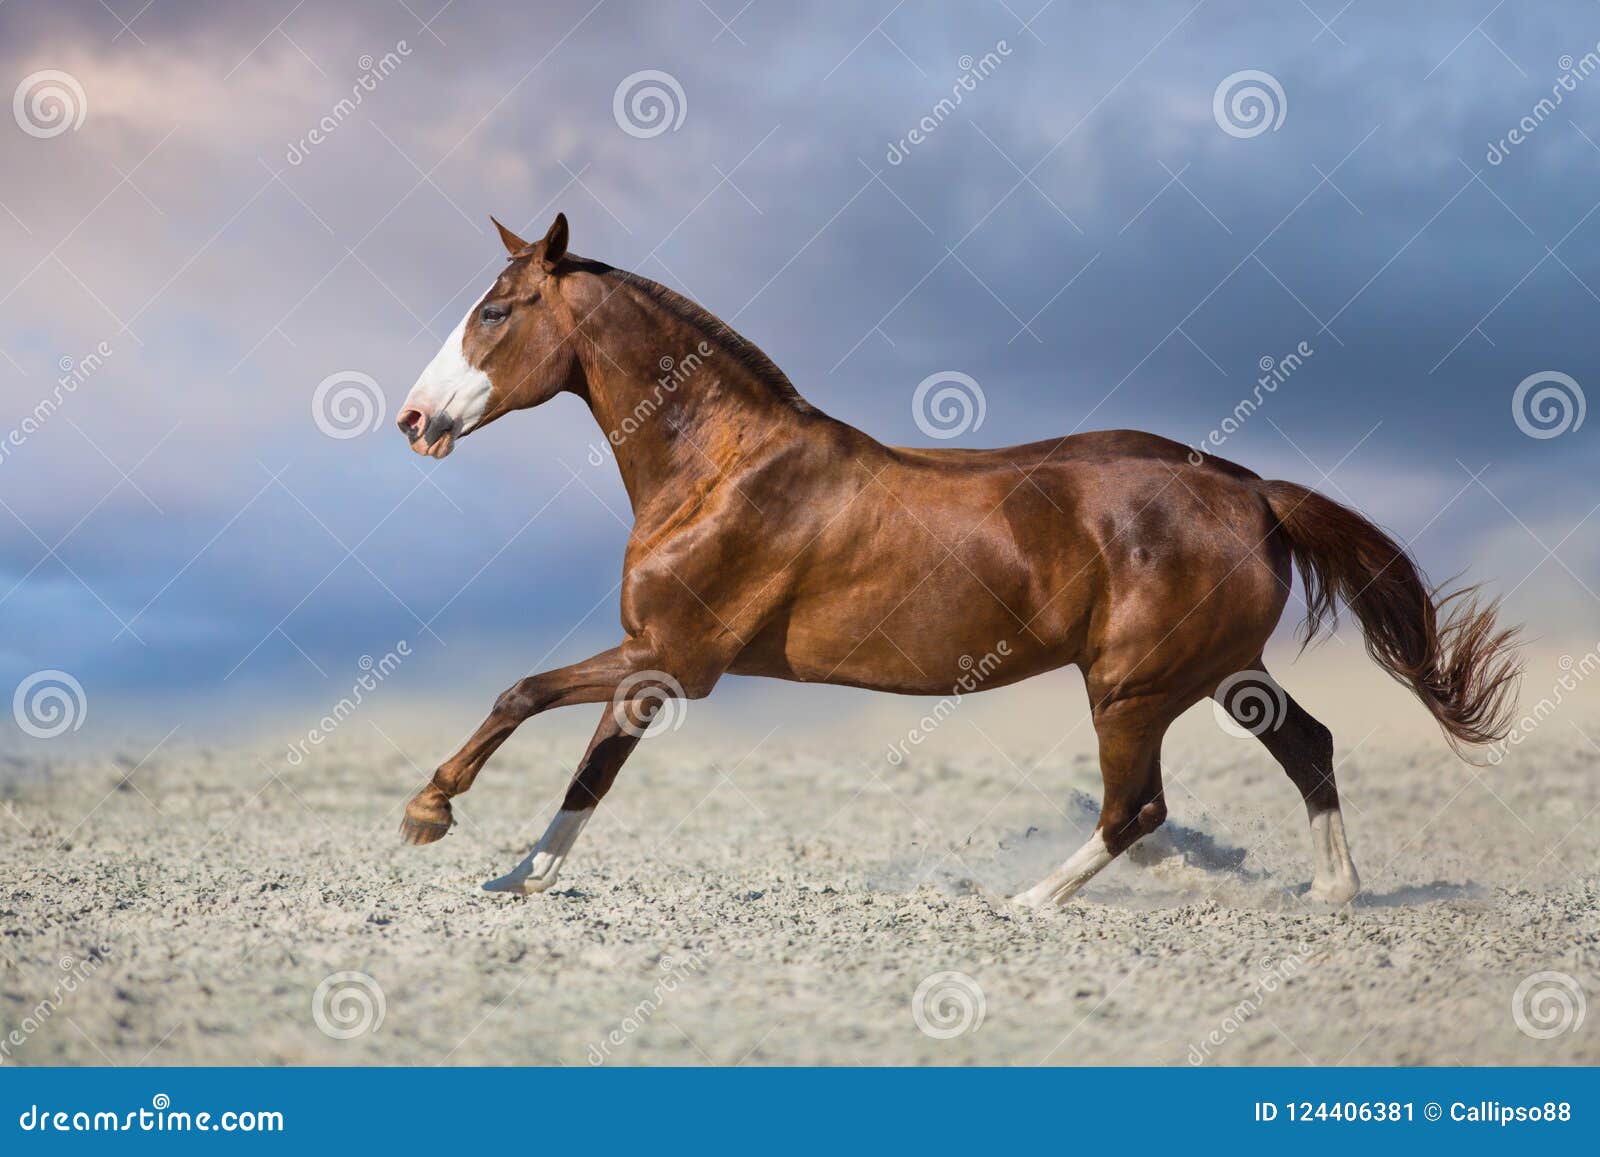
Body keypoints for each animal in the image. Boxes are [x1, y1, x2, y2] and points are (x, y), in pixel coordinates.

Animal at [393, 212, 1516, 908]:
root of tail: (1252, 491)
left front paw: (432, 814)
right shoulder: (655, 659)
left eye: (496, 310)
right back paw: (1331, 892)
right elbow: (584, 757)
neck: (721, 468)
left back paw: (1026, 901)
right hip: (1219, 670)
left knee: (1140, 805)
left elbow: (530, 700)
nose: (413, 419)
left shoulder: (671, 654)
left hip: (1131, 687)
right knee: (1308, 746)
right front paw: (515, 876)